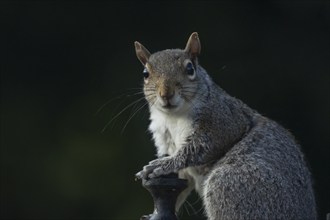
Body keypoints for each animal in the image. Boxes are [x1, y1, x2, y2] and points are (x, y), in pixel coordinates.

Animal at [134, 32, 318, 220]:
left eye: (190, 69)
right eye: (145, 73)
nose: (166, 94)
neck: (173, 117)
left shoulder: (224, 120)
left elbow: (198, 148)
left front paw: (161, 164)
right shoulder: (168, 142)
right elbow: (179, 184)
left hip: (230, 184)